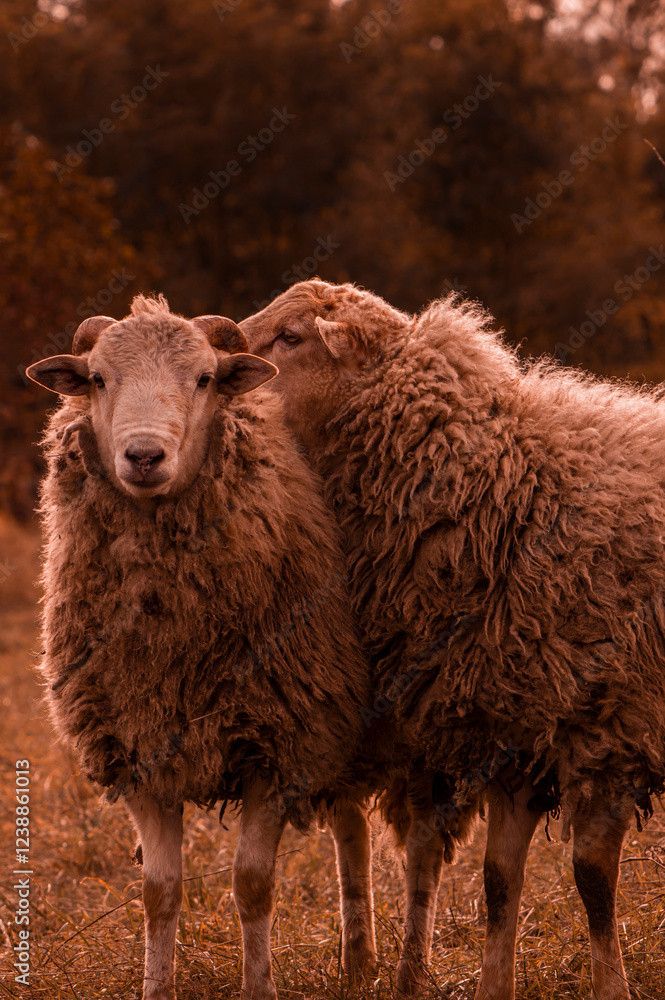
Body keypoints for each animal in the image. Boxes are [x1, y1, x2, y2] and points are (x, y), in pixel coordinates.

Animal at [26, 294, 377, 1000]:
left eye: (205, 379)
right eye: (98, 378)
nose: (143, 456)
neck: (173, 644)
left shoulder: (278, 743)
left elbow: (253, 885)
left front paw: (259, 988)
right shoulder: (135, 746)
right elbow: (159, 892)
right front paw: (156, 987)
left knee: (354, 830)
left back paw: (366, 961)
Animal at [241, 278, 665, 1000]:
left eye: (291, 337)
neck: (509, 490)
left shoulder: (610, 728)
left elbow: (590, 879)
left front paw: (611, 986)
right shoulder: (512, 728)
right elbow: (497, 882)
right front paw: (493, 985)